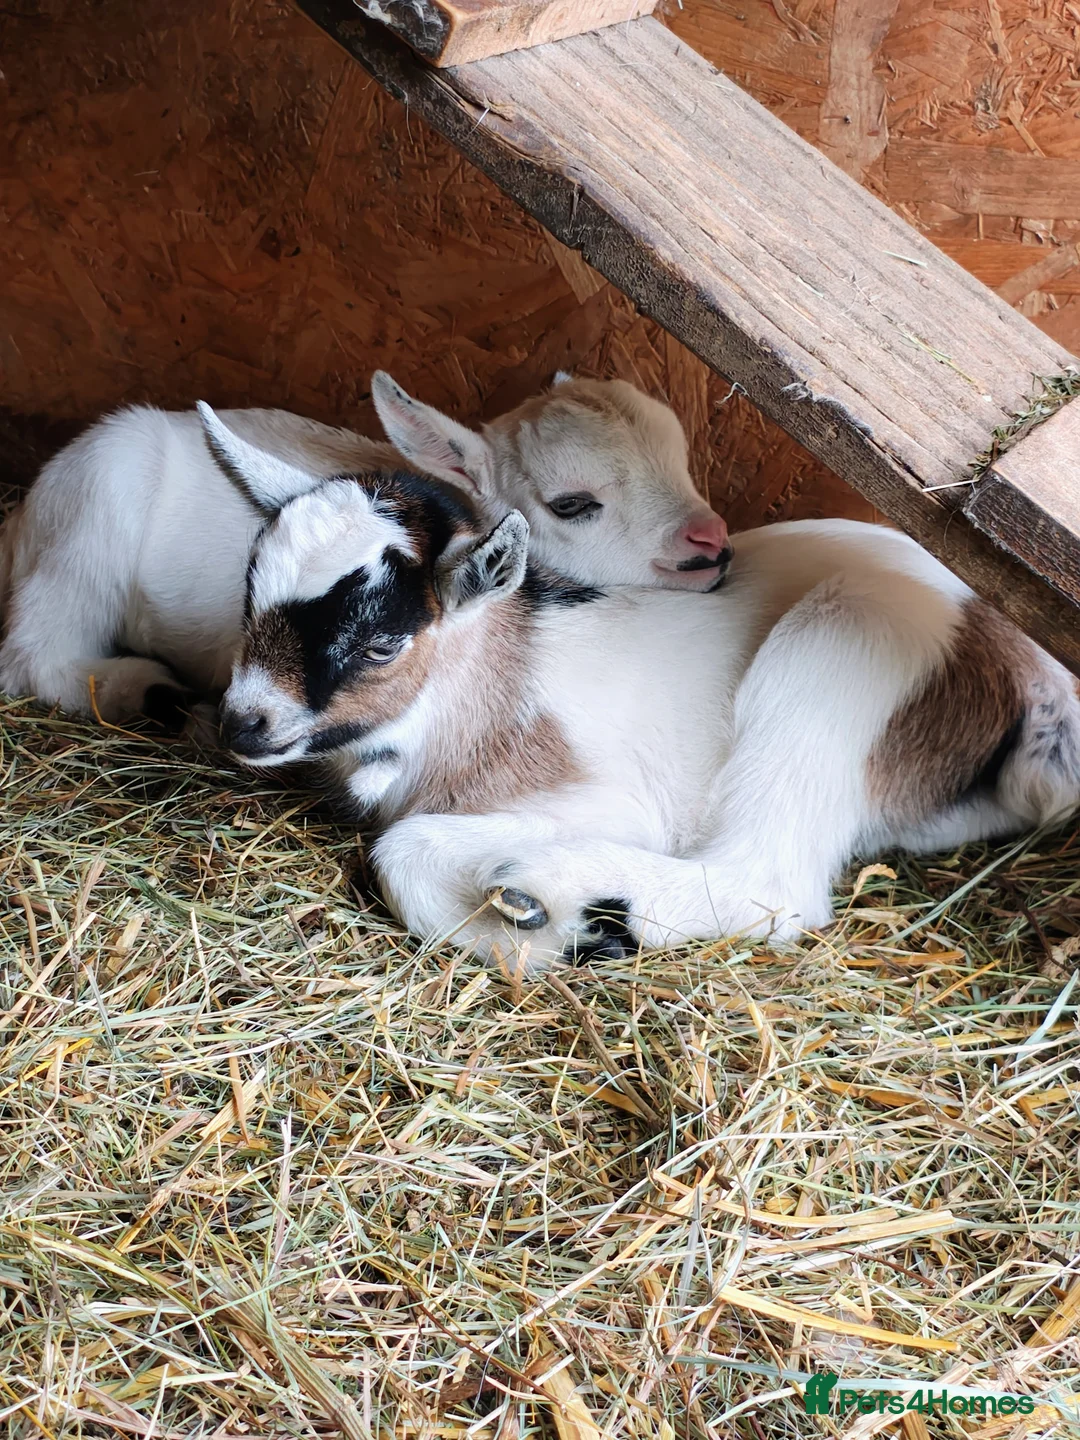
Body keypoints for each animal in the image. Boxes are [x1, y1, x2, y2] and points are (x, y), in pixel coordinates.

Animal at [0, 374, 728, 725]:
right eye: (572, 503)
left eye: (684, 458)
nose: (713, 542)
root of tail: (20, 524)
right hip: (92, 517)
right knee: (35, 655)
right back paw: (148, 693)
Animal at [204, 408, 1080, 968]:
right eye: (248, 593)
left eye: (383, 643)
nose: (244, 724)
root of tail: (1024, 663)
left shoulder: (613, 802)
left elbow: (402, 851)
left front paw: (548, 925)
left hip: (842, 648)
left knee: (773, 880)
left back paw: (572, 898)